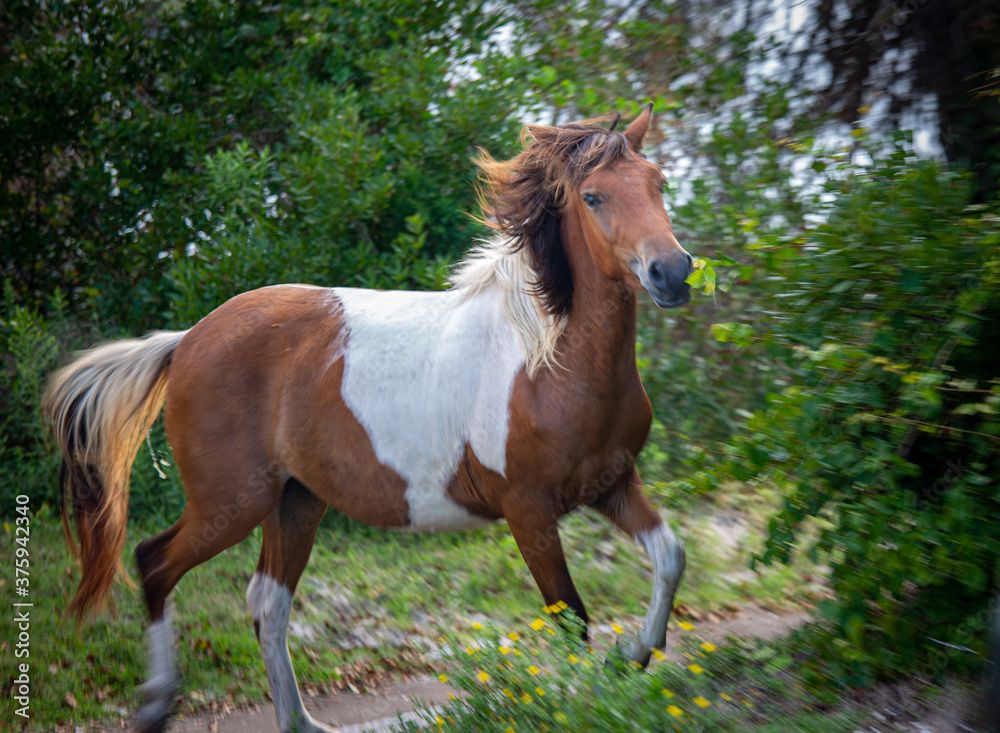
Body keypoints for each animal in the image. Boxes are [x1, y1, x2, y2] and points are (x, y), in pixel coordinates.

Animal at [44, 104, 692, 733]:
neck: (545, 359)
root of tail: (185, 342)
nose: (673, 272)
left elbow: (670, 557)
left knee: (267, 604)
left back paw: (300, 723)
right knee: (155, 565)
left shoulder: (611, 485)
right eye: (593, 197)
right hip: (231, 502)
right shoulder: (528, 510)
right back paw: (157, 706)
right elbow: (571, 621)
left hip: (295, 501)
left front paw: (635, 655)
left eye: (658, 183)